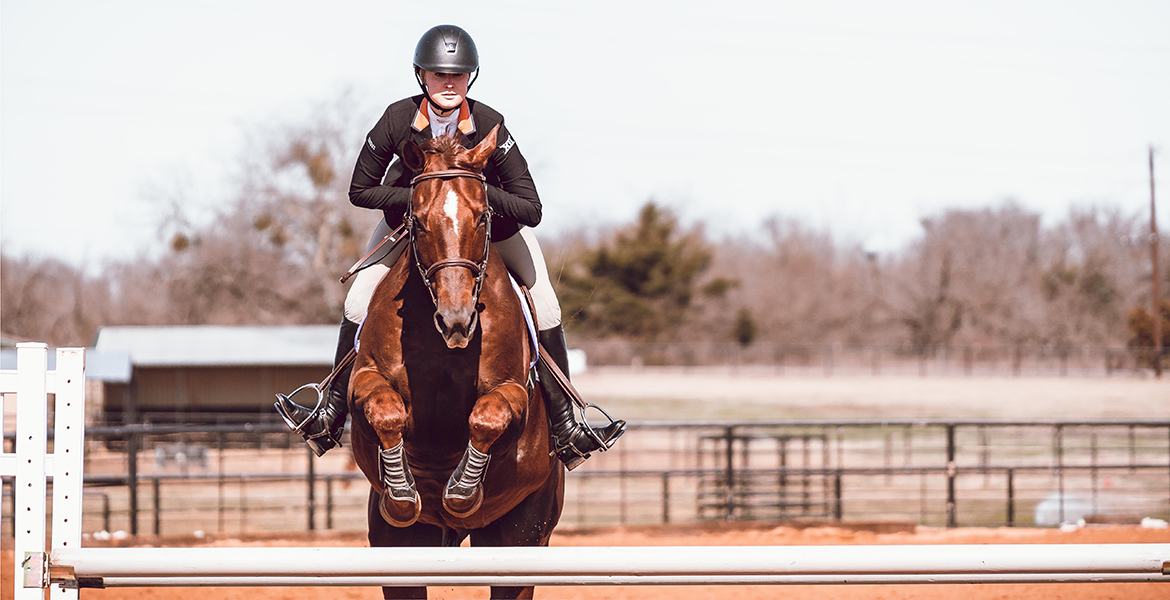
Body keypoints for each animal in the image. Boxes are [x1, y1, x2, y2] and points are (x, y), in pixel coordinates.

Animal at [346, 123, 561, 596]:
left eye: (482, 217)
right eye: (419, 221)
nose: (456, 320)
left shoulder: (514, 390)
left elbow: (487, 417)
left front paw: (461, 488)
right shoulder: (363, 381)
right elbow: (386, 411)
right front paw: (402, 491)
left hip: (522, 539)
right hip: (398, 549)